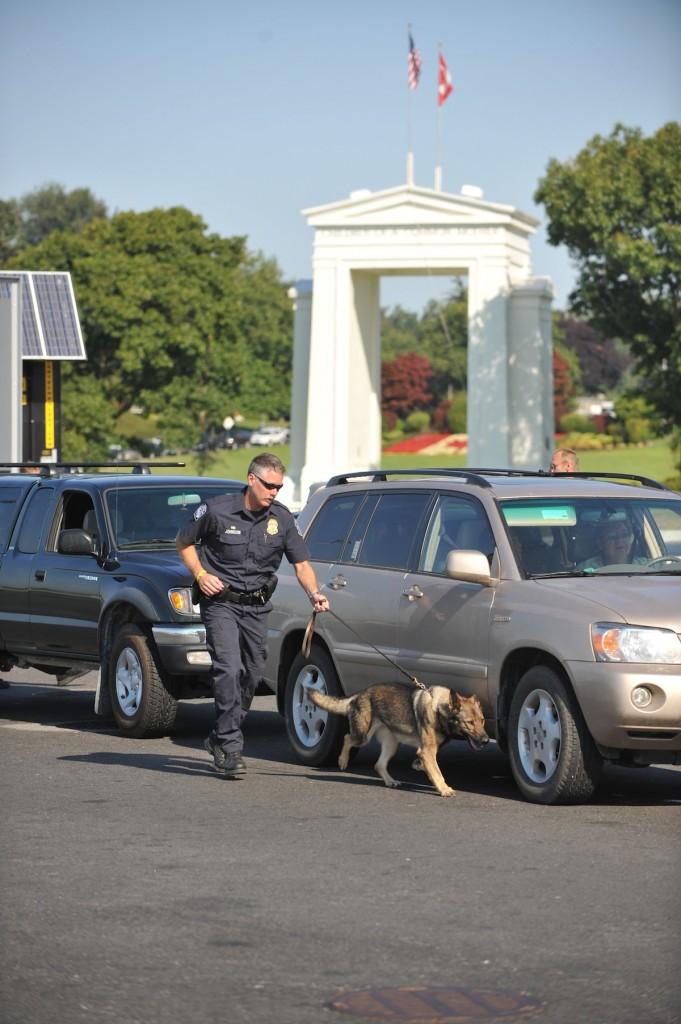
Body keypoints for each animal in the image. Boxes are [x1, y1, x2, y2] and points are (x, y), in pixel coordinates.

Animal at [305, 684, 485, 794]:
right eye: (469, 722)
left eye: (482, 721)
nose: (485, 740)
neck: (438, 709)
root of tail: (359, 695)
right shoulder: (427, 751)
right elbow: (438, 772)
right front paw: (444, 788)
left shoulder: (427, 752)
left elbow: (428, 766)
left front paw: (420, 767)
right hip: (363, 737)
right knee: (347, 738)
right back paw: (342, 760)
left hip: (392, 745)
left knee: (379, 765)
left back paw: (390, 781)